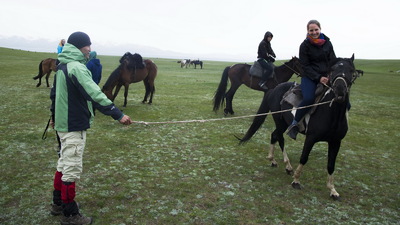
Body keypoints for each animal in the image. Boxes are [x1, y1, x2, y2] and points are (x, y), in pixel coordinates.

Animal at [238, 55, 360, 200]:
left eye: (351, 70)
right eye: (333, 69)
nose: (340, 90)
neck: (332, 114)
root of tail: (274, 89)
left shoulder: (336, 142)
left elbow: (331, 165)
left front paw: (333, 190)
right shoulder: (311, 138)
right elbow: (304, 158)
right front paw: (296, 181)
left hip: (284, 123)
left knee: (274, 135)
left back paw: (273, 160)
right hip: (280, 122)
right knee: (279, 137)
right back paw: (288, 166)